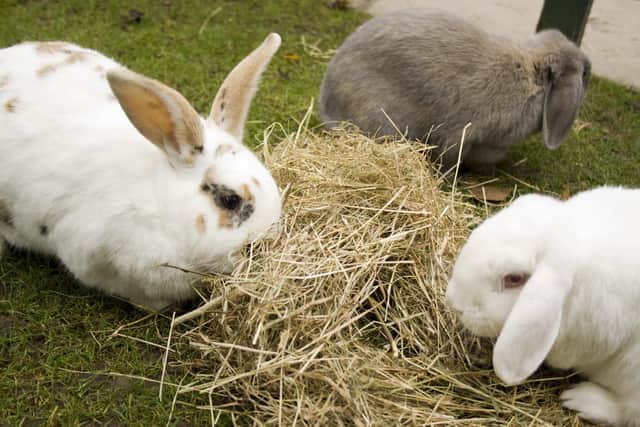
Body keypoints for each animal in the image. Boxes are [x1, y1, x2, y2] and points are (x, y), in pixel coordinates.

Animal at [318, 9, 591, 170]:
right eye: (585, 73)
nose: (588, 67)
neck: (529, 76)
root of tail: (327, 104)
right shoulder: (462, 134)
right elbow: (450, 158)